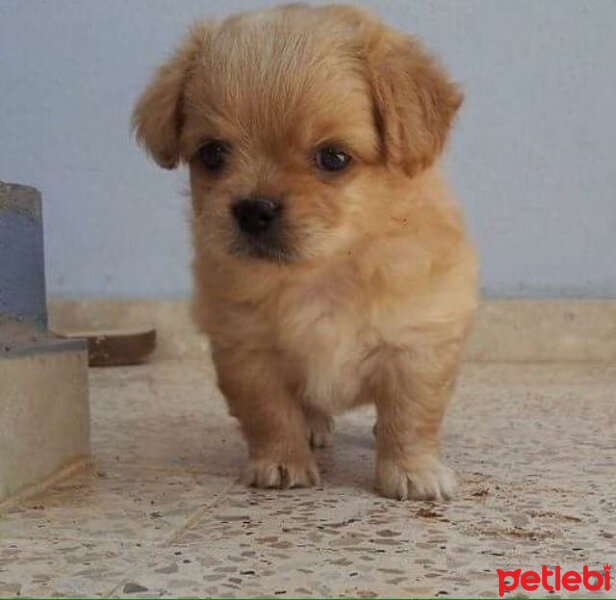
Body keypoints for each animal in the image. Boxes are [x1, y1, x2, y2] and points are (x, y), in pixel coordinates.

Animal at [132, 3, 478, 502]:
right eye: (212, 154)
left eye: (333, 158)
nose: (253, 209)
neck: (323, 273)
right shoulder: (249, 352)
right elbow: (270, 414)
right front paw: (281, 462)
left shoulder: (417, 345)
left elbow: (410, 417)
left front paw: (413, 472)